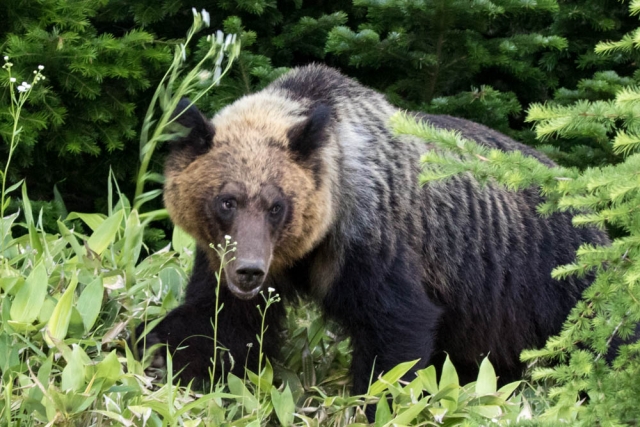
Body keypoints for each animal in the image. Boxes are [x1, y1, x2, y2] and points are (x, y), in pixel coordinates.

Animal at [136, 64, 608, 402]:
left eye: (276, 205)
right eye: (226, 200)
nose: (249, 271)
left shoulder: (369, 240)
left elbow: (396, 333)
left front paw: (376, 401)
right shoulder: (224, 258)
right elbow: (219, 324)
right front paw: (162, 357)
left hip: (553, 286)